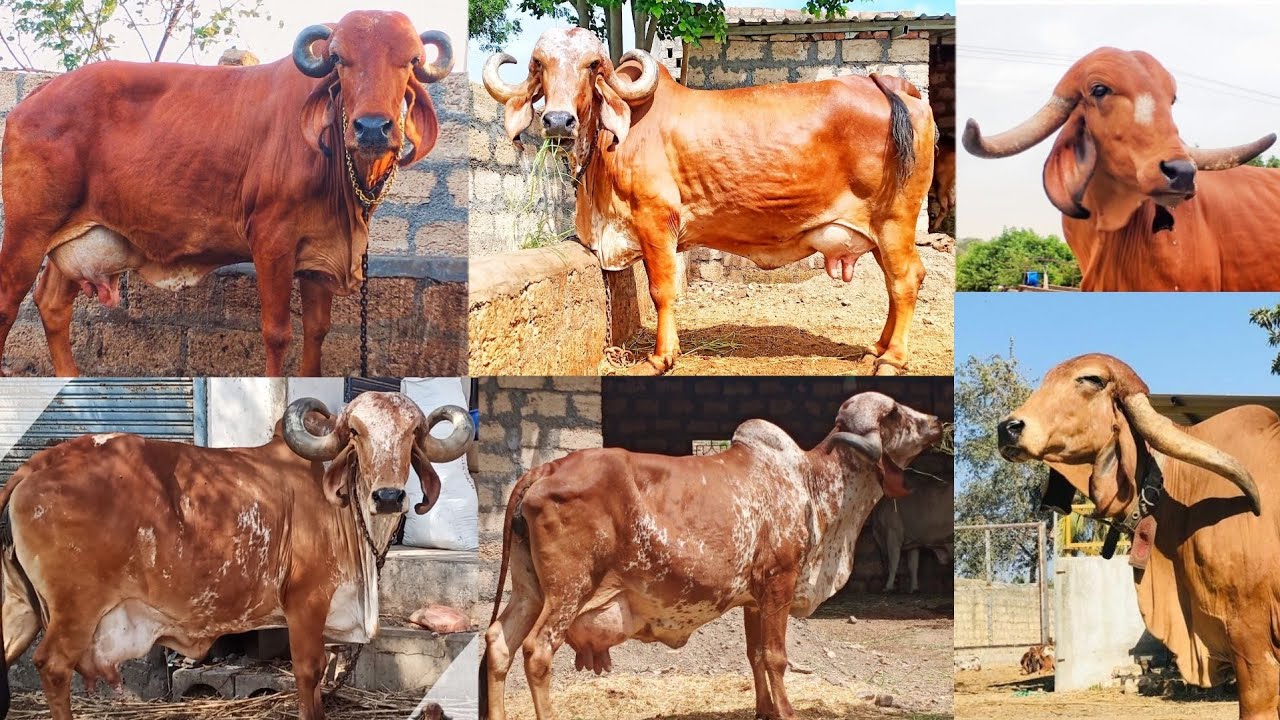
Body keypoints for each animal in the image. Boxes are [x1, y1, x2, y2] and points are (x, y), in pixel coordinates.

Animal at [0, 11, 453, 377]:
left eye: (412, 61)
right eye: (340, 59)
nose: (373, 127)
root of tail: (36, 96)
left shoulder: (318, 253)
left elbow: (317, 331)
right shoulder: (271, 240)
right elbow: (277, 332)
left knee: (52, 304)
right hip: (28, 230)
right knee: (9, 303)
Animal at [0, 392, 473, 720]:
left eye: (413, 435)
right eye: (355, 433)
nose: (389, 497)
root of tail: (35, 466)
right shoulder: (305, 602)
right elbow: (309, 671)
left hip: (21, 611)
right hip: (76, 611)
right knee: (52, 666)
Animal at [480, 392, 944, 720]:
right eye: (895, 413)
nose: (937, 422)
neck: (812, 485)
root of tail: (544, 469)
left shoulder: (755, 599)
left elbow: (755, 656)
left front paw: (764, 710)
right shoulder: (780, 582)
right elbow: (776, 657)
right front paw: (786, 712)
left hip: (529, 590)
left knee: (499, 643)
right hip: (569, 590)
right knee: (537, 651)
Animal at [483, 28, 935, 375]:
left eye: (593, 66)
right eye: (538, 64)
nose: (558, 120)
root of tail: (888, 84)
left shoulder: (655, 221)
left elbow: (662, 290)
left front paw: (661, 357)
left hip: (894, 222)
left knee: (906, 279)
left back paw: (892, 359)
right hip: (878, 232)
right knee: (894, 284)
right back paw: (877, 349)